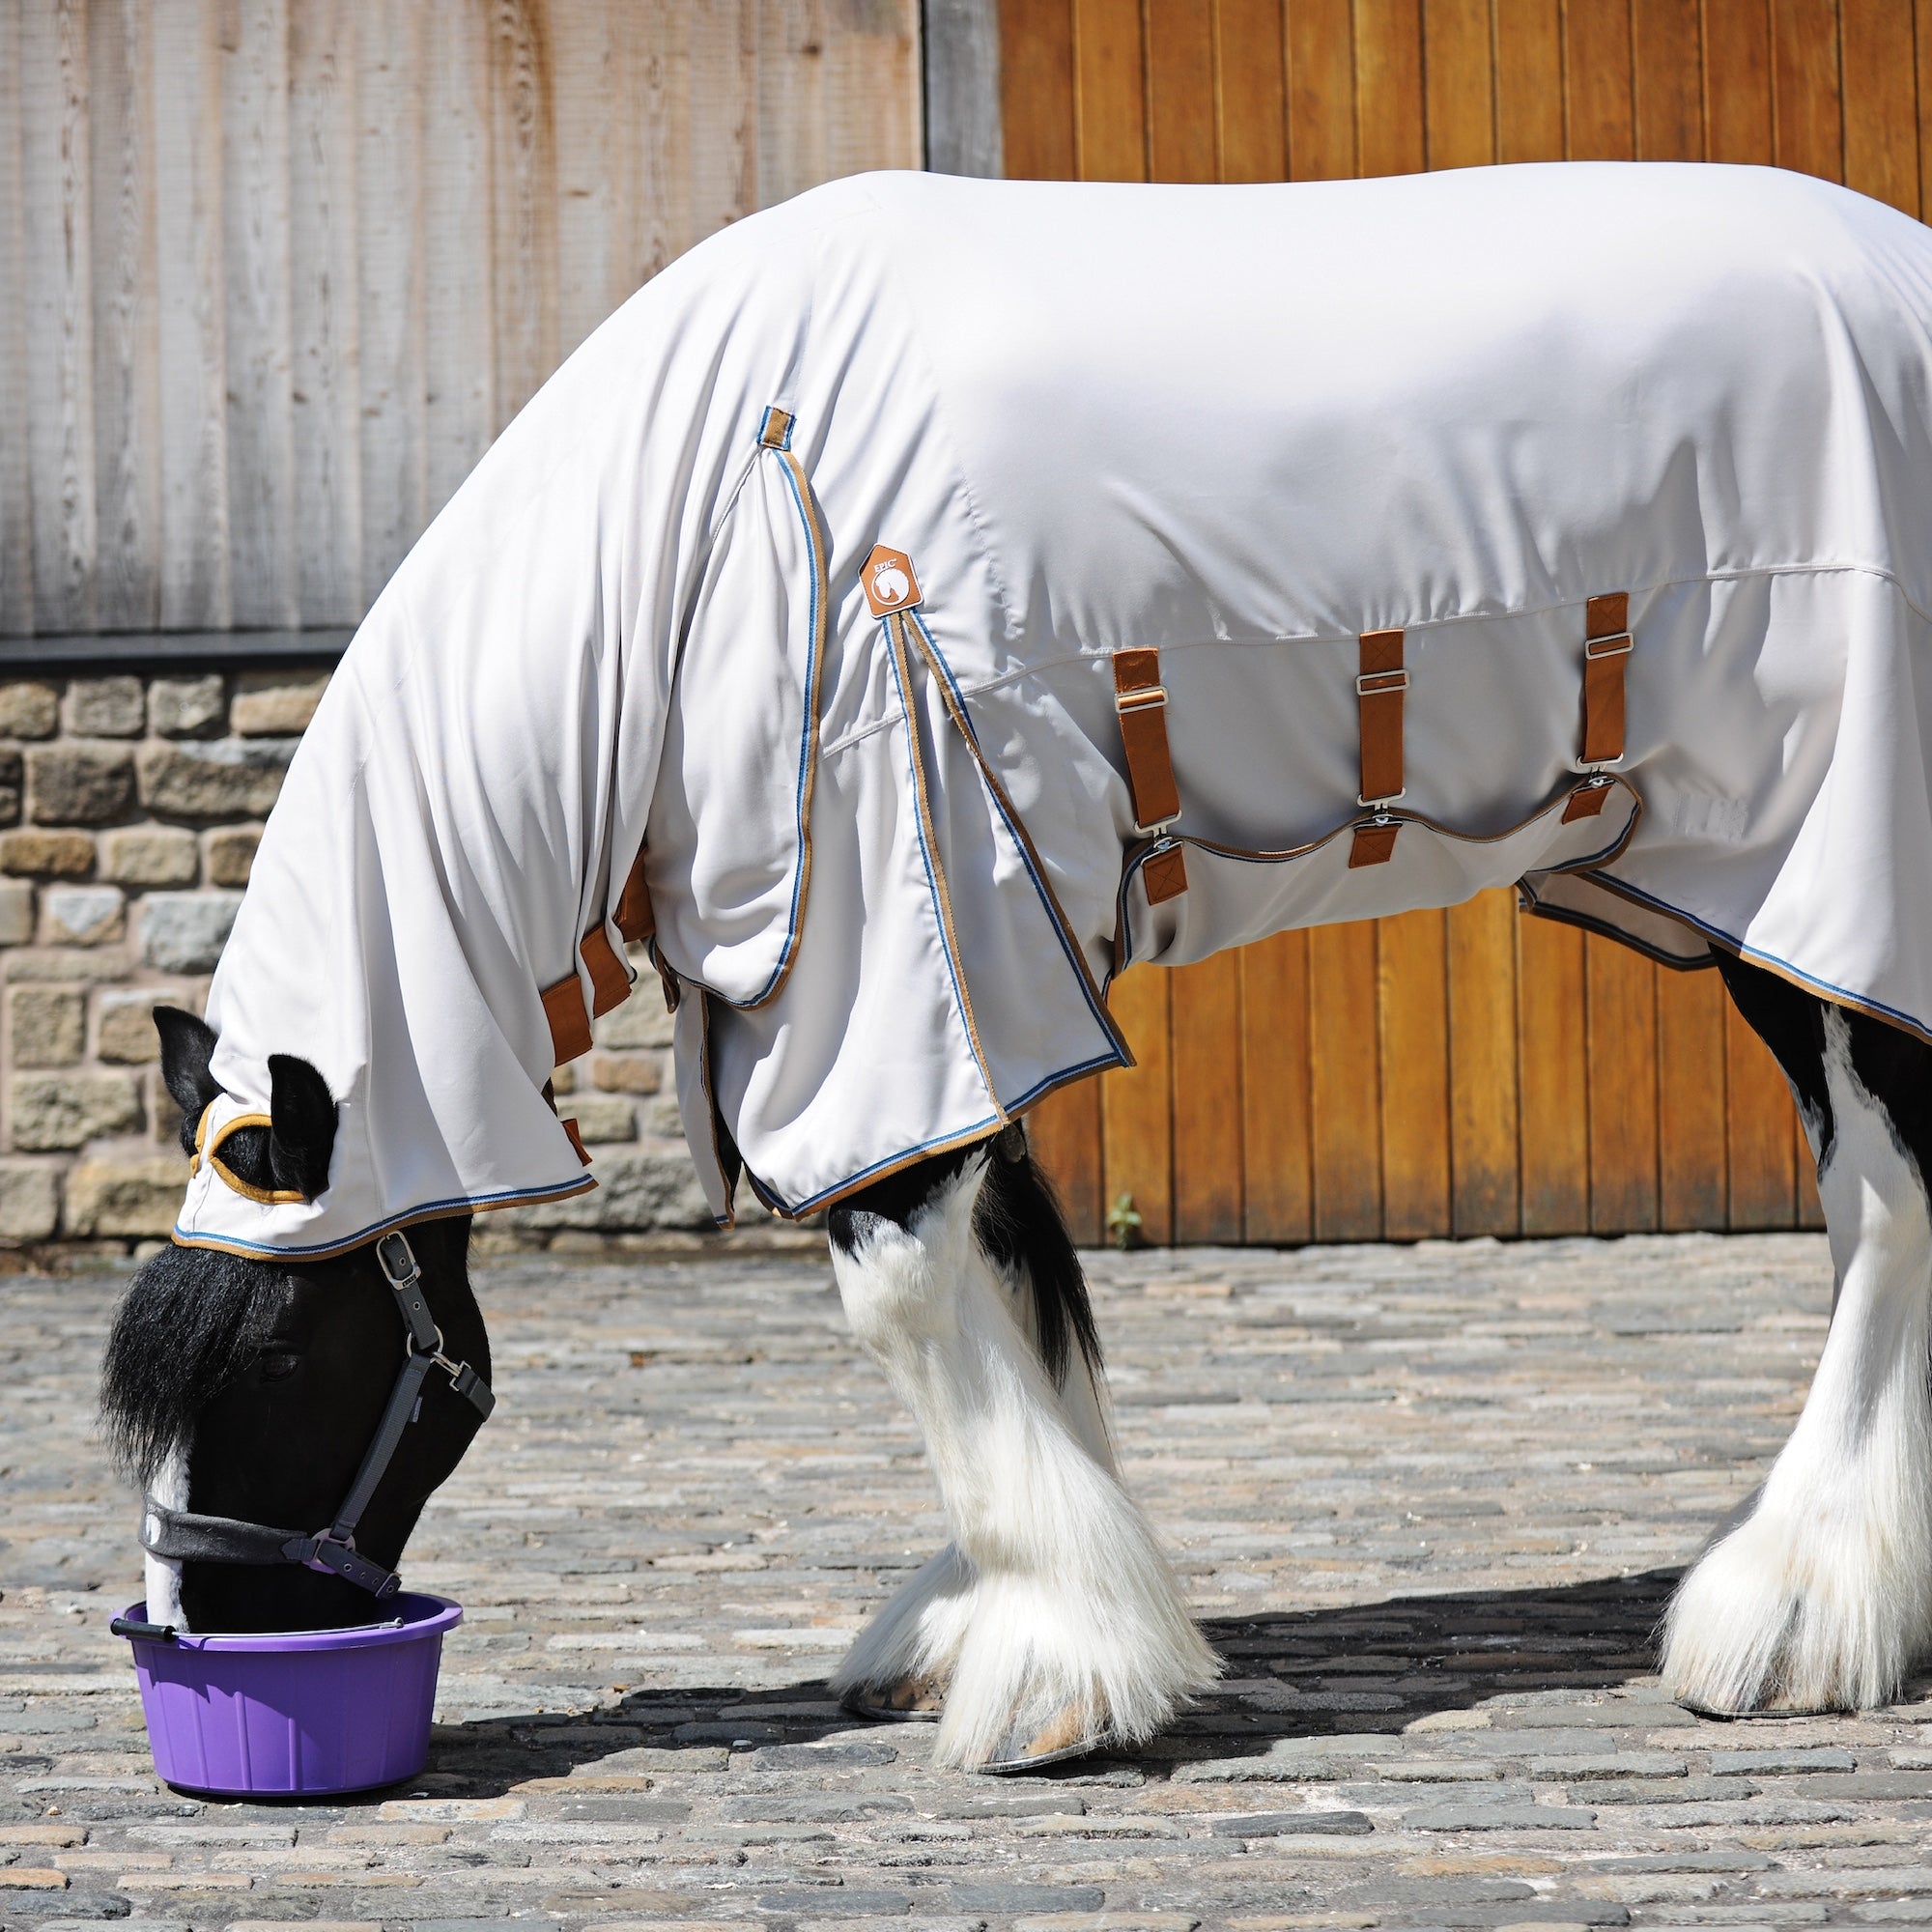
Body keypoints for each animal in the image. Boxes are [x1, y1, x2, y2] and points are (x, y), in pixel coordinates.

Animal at [100, 160, 1932, 1772]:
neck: (721, 530)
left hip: (1829, 884)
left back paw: (1798, 1606)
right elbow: (1018, 1283)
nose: (205, 1634)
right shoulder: (976, 974)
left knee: (1888, 1201)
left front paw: (1051, 1668)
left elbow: (913, 1294)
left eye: (277, 1354)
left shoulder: (892, 957)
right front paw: (1014, 1614)